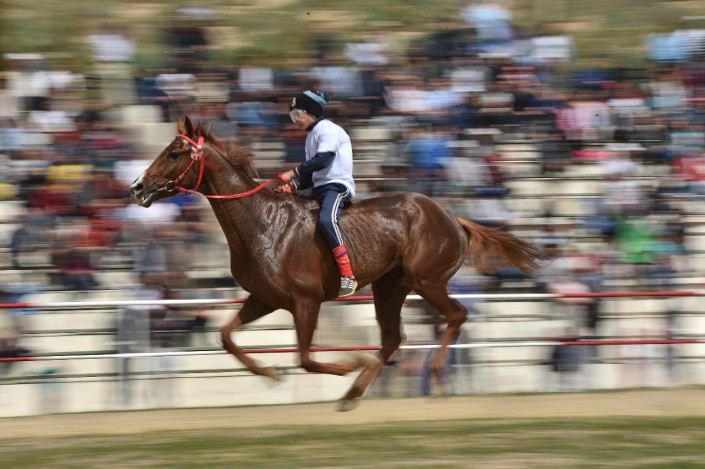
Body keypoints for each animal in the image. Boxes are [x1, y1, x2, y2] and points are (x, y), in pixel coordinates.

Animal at [129, 115, 544, 410]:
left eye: (174, 153)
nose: (136, 187)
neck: (261, 221)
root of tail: (451, 216)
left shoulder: (305, 301)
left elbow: (307, 358)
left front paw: (348, 364)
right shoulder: (264, 298)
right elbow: (227, 337)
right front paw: (270, 371)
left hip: (426, 281)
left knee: (455, 316)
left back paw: (435, 375)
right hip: (389, 287)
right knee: (393, 339)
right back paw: (354, 393)